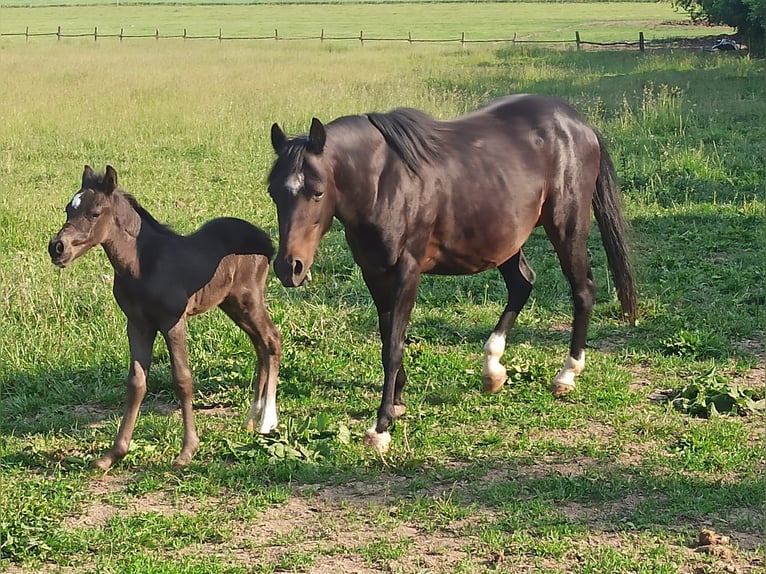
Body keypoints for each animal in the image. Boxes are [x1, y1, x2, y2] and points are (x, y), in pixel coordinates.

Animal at [48, 165, 282, 472]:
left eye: (95, 213)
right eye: (68, 209)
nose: (57, 248)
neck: (142, 264)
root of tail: (266, 241)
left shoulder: (173, 321)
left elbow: (182, 379)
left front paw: (187, 451)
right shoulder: (137, 324)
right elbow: (136, 382)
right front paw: (113, 454)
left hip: (249, 300)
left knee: (272, 340)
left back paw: (267, 421)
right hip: (232, 305)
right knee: (260, 345)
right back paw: (251, 420)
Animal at [268, 93, 640, 454]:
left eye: (317, 191)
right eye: (273, 192)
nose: (289, 267)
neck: (384, 181)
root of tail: (578, 124)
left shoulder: (408, 270)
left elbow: (394, 345)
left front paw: (382, 426)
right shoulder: (374, 271)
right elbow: (388, 335)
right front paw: (397, 403)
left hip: (566, 228)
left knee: (583, 290)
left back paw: (566, 375)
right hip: (504, 238)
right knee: (522, 284)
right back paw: (493, 369)